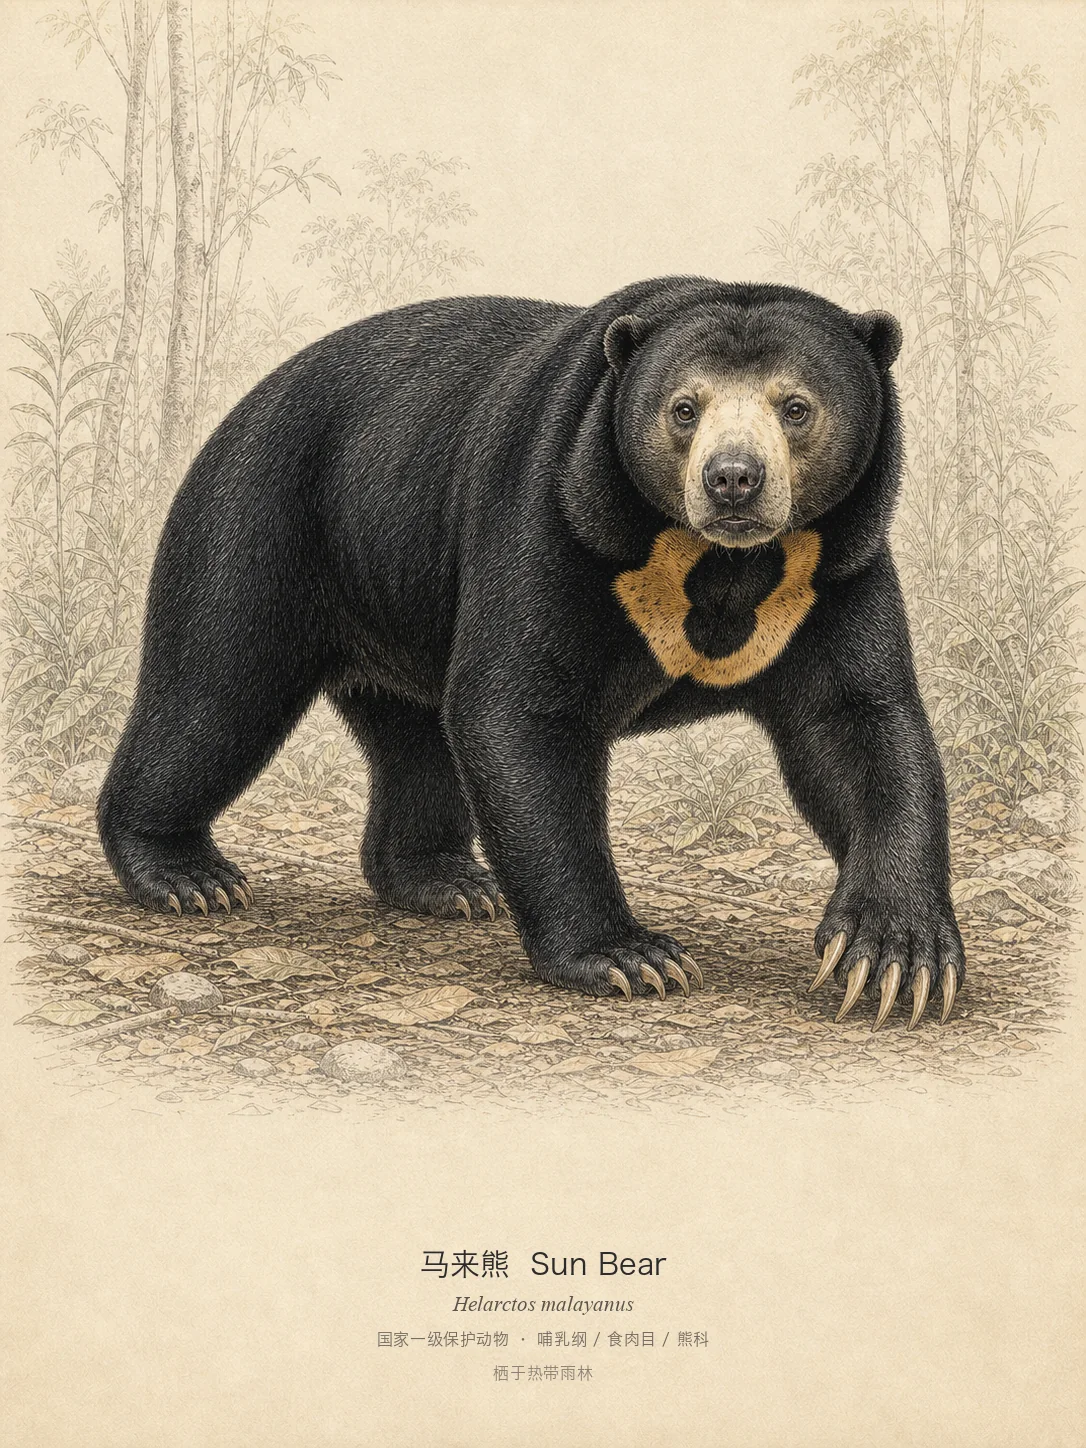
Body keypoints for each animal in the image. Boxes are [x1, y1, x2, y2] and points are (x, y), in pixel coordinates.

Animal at [98, 275, 965, 1028]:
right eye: (683, 407)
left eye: (796, 407)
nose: (733, 480)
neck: (719, 561)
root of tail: (246, 402)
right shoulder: (554, 516)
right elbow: (519, 712)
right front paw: (629, 956)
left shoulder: (831, 568)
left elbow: (858, 726)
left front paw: (896, 956)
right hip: (260, 521)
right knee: (214, 695)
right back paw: (186, 875)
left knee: (415, 738)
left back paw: (445, 880)